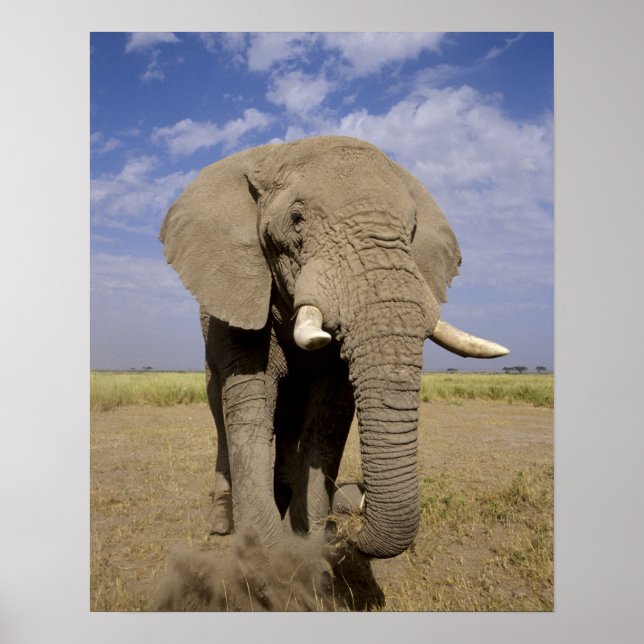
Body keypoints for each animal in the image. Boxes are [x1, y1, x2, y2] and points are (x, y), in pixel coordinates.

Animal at [160, 135, 508, 560]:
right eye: (296, 219)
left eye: (411, 231)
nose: (350, 521)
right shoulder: (239, 295)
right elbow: (250, 401)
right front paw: (266, 552)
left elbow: (330, 411)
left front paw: (307, 540)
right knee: (221, 414)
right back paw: (223, 523)